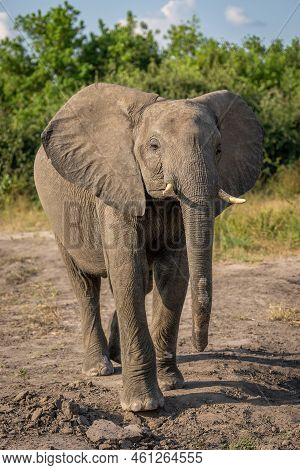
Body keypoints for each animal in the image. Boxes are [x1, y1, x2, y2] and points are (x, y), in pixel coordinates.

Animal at [34, 81, 262, 412]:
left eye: (219, 149)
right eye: (154, 147)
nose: (200, 343)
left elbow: (173, 275)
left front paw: (171, 383)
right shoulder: (116, 182)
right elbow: (127, 270)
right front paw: (143, 405)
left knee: (140, 281)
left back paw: (117, 357)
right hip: (57, 219)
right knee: (86, 285)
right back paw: (99, 368)